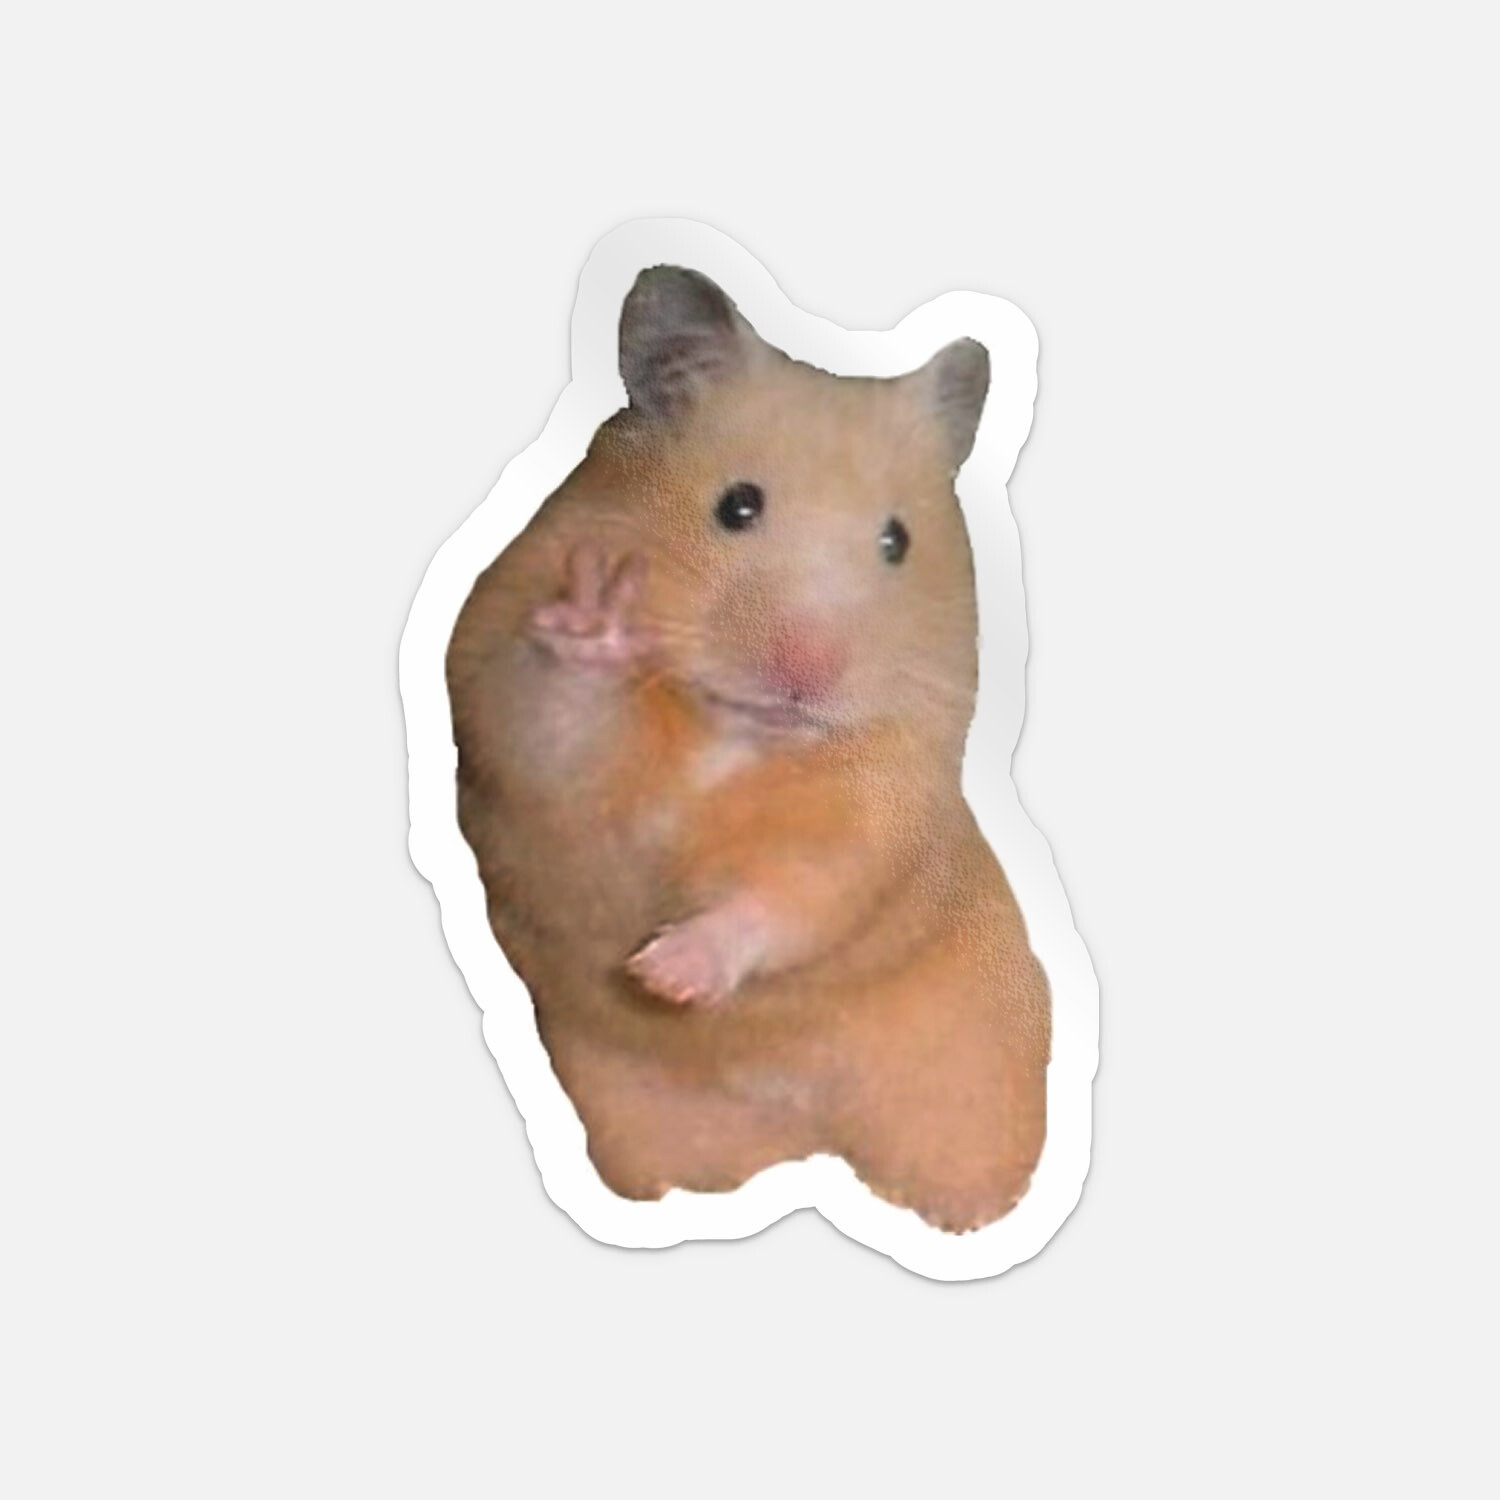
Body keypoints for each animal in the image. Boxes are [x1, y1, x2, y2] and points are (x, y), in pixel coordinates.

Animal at [446, 267, 1050, 1233]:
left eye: (897, 542)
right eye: (736, 506)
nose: (806, 673)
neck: (737, 733)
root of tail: (808, 1139)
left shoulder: (879, 810)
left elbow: (791, 894)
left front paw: (665, 975)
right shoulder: (500, 703)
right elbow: (556, 722)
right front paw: (597, 618)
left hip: (982, 1072)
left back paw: (970, 1216)